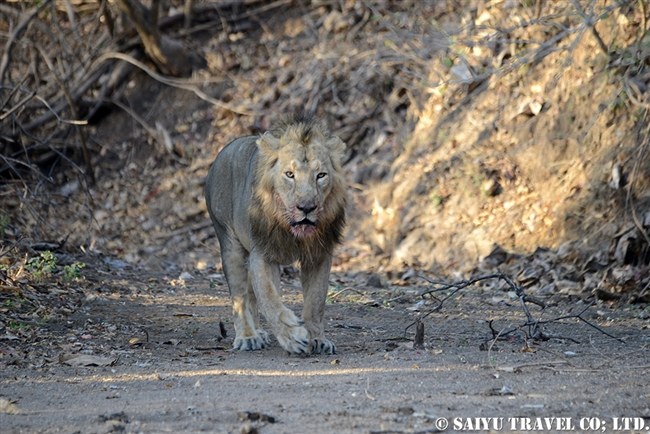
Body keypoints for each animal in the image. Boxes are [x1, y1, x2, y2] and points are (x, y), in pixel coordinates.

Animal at [205, 116, 346, 356]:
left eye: (321, 175)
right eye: (290, 175)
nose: (306, 207)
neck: (291, 232)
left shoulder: (319, 255)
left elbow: (315, 302)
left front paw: (317, 339)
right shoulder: (263, 253)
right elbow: (269, 298)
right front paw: (292, 336)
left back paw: (260, 332)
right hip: (229, 243)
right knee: (240, 297)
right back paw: (248, 336)